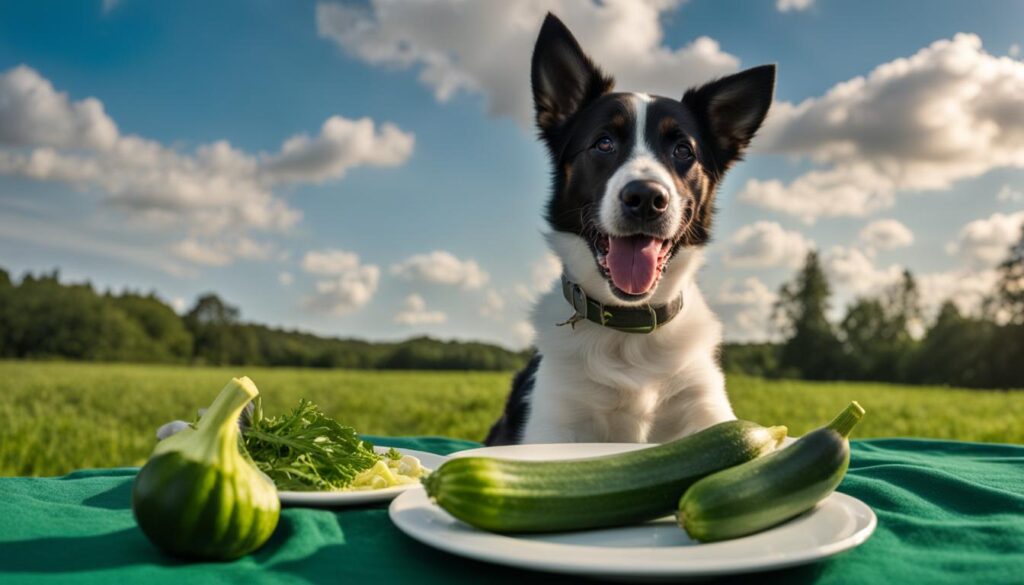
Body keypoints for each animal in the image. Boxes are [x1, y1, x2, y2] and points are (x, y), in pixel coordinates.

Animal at [483, 12, 770, 444]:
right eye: (603, 143)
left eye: (683, 150)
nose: (646, 198)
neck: (629, 333)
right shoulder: (554, 428)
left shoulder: (708, 411)